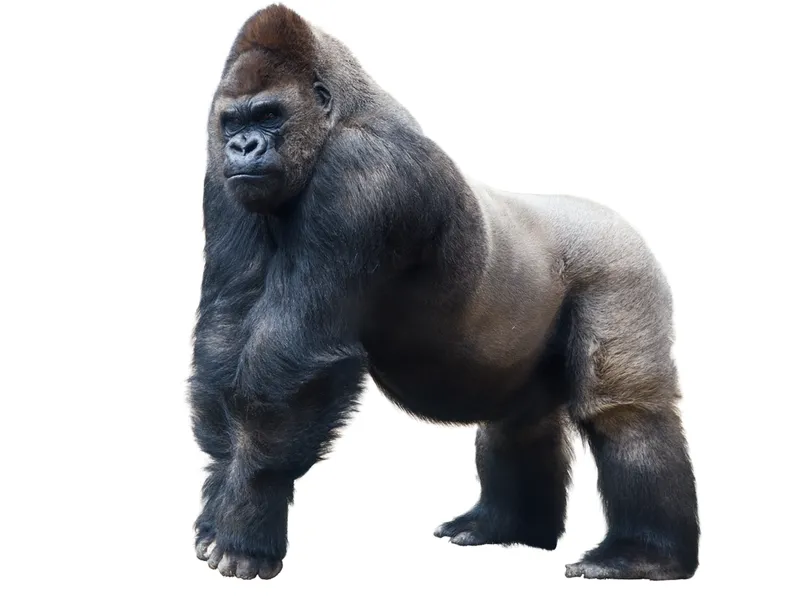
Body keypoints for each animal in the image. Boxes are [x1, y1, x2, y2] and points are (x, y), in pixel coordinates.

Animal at [189, 4, 699, 581]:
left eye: (270, 115)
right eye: (234, 122)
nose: (243, 146)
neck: (338, 113)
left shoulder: (362, 175)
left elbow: (295, 360)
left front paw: (250, 513)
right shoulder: (220, 181)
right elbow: (225, 335)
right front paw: (220, 495)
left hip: (622, 266)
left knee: (625, 412)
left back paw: (644, 554)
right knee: (519, 420)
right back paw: (508, 527)